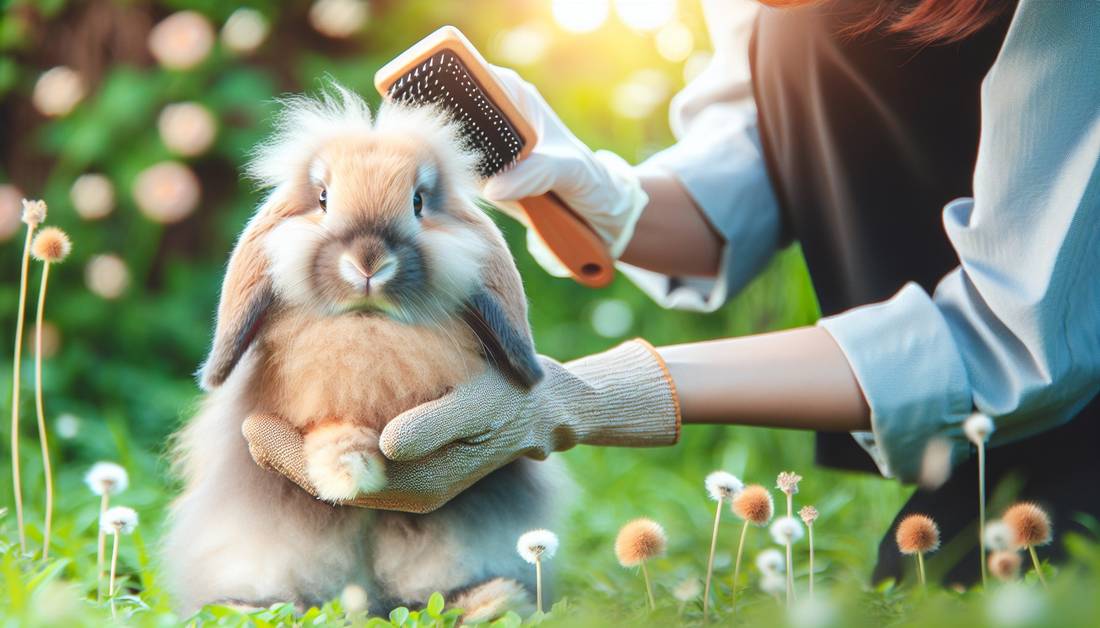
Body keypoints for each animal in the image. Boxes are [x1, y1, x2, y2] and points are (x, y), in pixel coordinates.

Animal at [167, 87, 572, 620]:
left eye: (418, 202)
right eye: (323, 198)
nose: (367, 261)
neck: (368, 324)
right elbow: (329, 431)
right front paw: (346, 472)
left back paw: (488, 602)